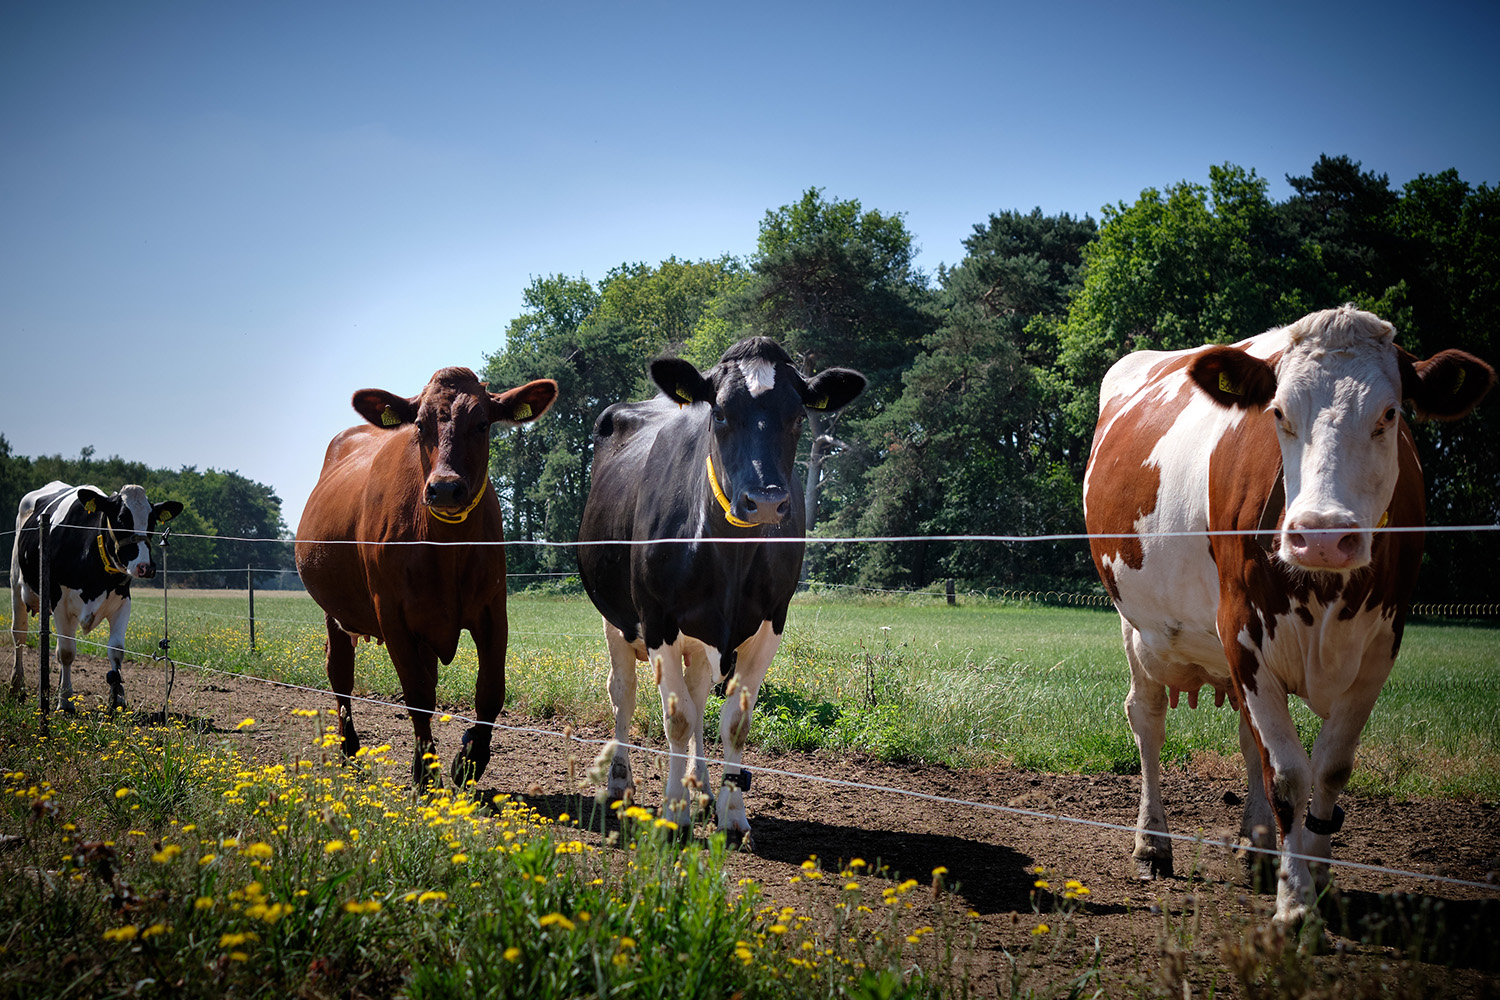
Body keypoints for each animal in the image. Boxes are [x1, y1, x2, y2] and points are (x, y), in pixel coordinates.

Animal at [10, 482, 183, 713]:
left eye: (152, 520)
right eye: (121, 518)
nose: (146, 567)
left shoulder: (122, 603)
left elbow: (116, 651)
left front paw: (117, 698)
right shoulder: (59, 603)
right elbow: (67, 652)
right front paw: (66, 701)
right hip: (16, 583)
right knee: (19, 635)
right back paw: (16, 687)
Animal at [294, 367, 557, 791]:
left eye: (482, 424)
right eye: (419, 425)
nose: (446, 487)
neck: (444, 546)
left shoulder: (492, 610)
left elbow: (490, 691)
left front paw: (468, 761)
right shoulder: (392, 615)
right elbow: (417, 694)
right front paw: (426, 772)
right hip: (335, 611)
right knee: (340, 674)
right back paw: (350, 752)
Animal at [577, 337, 866, 844]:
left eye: (798, 416)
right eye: (721, 412)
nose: (765, 500)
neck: (729, 553)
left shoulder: (770, 623)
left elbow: (734, 722)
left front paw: (731, 812)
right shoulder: (658, 620)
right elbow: (677, 719)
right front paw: (674, 814)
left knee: (694, 694)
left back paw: (705, 789)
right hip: (616, 618)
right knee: (624, 693)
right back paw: (619, 783)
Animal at [1083, 305, 1494, 930]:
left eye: (1391, 414)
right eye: (1278, 412)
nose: (1321, 535)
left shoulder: (1380, 648)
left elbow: (1328, 769)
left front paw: (1315, 880)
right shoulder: (1242, 633)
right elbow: (1288, 775)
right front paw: (1296, 904)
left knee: (1248, 739)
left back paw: (1257, 848)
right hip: (1138, 626)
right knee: (1147, 717)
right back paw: (1152, 843)